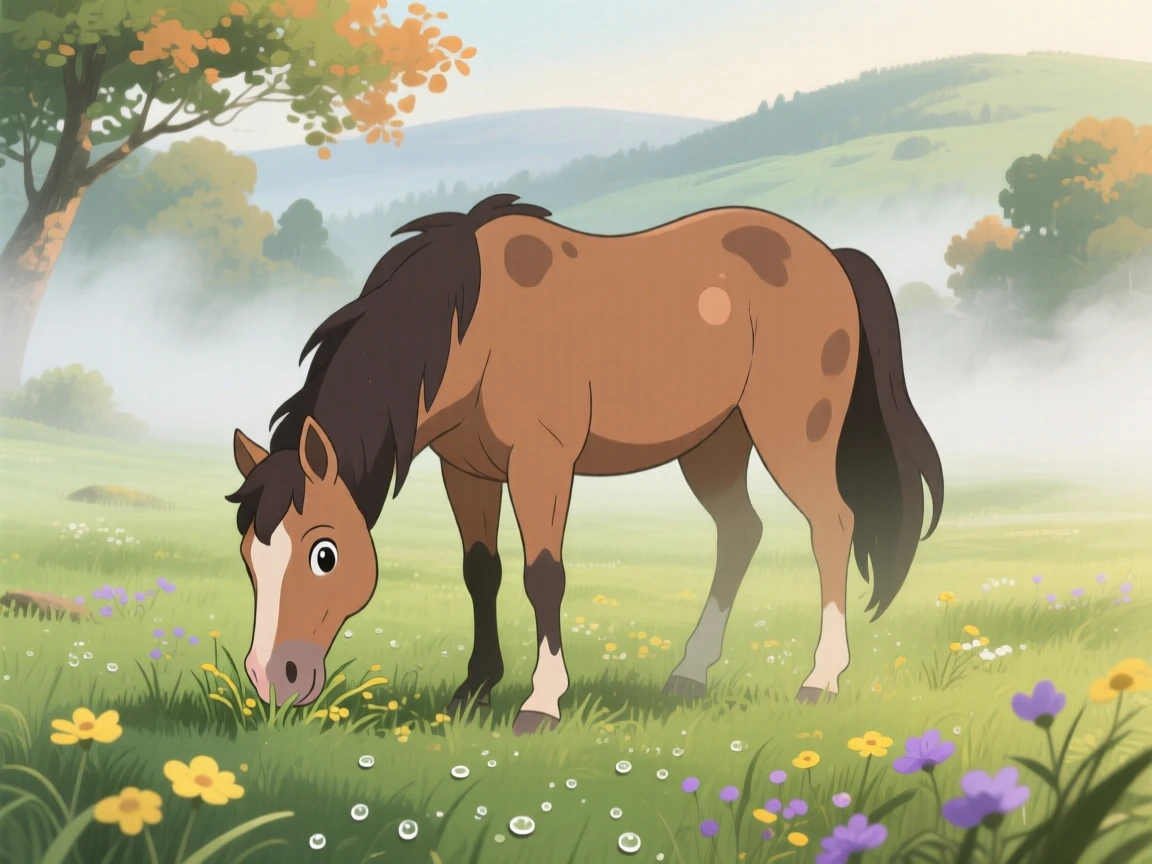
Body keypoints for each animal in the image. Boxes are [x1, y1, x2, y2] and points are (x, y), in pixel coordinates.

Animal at [226, 193, 944, 735]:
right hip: (715, 443)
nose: (275, 680)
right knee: (742, 532)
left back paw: (820, 679)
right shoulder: (467, 471)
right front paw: (474, 690)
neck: (472, 323)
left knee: (833, 526)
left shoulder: (542, 462)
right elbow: (481, 572)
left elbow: (543, 575)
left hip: (793, 434)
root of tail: (829, 256)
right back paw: (689, 673)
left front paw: (541, 702)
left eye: (325, 554)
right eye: (249, 557)